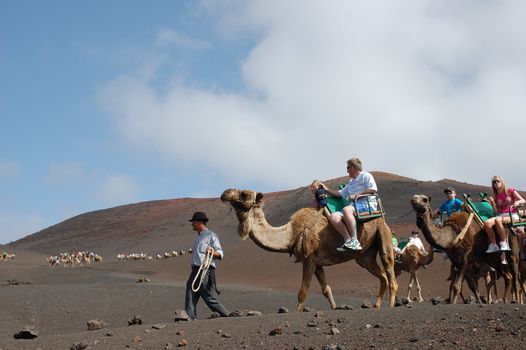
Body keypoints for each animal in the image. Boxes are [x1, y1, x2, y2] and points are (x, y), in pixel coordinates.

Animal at [221, 187, 398, 310]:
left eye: (244, 194)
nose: (225, 192)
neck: (291, 234)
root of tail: (381, 219)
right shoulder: (318, 264)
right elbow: (326, 289)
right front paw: (334, 308)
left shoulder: (309, 259)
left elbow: (303, 292)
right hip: (365, 256)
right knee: (381, 275)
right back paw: (376, 305)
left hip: (383, 234)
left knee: (389, 271)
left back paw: (390, 305)